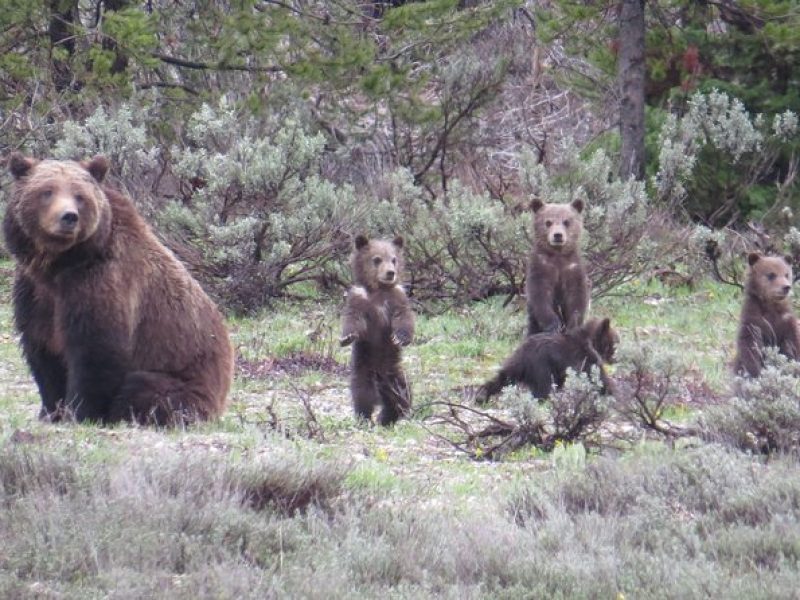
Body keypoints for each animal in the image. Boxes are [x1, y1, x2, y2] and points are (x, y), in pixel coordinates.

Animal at [3, 155, 234, 426]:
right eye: (47, 191)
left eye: (80, 195)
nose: (68, 217)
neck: (59, 265)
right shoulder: (35, 293)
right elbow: (43, 352)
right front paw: (51, 411)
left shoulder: (102, 283)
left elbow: (96, 351)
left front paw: (79, 412)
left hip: (185, 381)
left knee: (144, 389)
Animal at [340, 234, 416, 426]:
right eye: (377, 259)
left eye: (394, 259)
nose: (390, 273)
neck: (379, 290)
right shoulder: (360, 300)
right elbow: (353, 319)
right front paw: (347, 337)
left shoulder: (397, 298)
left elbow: (404, 317)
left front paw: (400, 338)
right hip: (364, 367)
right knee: (362, 393)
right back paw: (365, 417)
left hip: (395, 374)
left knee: (402, 395)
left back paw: (389, 417)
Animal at [476, 318, 620, 404]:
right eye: (615, 342)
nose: (616, 359)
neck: (592, 343)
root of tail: (524, 353)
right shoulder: (584, 358)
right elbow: (598, 377)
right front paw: (613, 391)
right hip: (541, 366)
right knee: (543, 388)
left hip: (516, 362)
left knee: (503, 377)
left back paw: (481, 395)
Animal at [520, 199, 592, 336]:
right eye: (548, 222)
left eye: (566, 221)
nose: (558, 235)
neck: (558, 255)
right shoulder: (541, 267)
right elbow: (540, 295)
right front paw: (554, 324)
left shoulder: (572, 268)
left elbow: (576, 296)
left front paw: (572, 324)